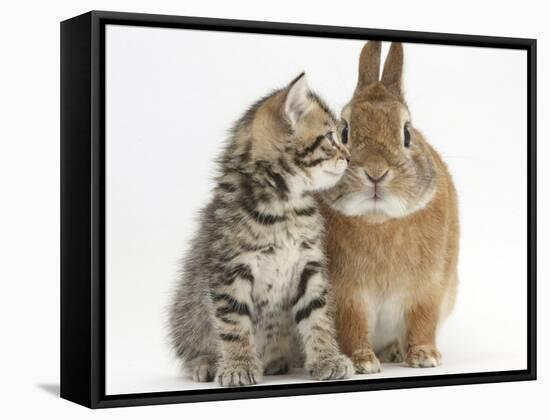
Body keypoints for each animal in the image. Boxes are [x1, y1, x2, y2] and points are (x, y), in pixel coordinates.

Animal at [170, 74, 356, 386]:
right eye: (330, 137)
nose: (350, 156)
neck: (285, 205)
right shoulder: (230, 268)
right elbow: (233, 321)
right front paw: (238, 365)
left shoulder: (309, 264)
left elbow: (317, 316)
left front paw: (327, 358)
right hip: (186, 308)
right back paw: (205, 362)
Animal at [324, 41, 462, 372]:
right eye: (344, 131)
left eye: (407, 132)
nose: (375, 172)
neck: (380, 220)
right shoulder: (347, 295)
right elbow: (351, 326)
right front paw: (361, 361)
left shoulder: (428, 289)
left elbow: (422, 322)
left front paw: (425, 357)